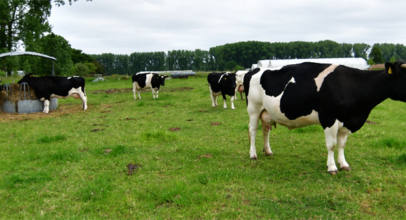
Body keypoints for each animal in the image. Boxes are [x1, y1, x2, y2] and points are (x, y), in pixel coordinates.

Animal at [243, 61, 406, 174]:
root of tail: (254, 70)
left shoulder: (346, 121)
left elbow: (342, 145)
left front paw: (344, 164)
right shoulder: (329, 118)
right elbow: (332, 145)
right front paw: (332, 167)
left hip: (266, 111)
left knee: (265, 130)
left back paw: (268, 151)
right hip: (253, 108)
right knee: (252, 130)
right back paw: (253, 155)